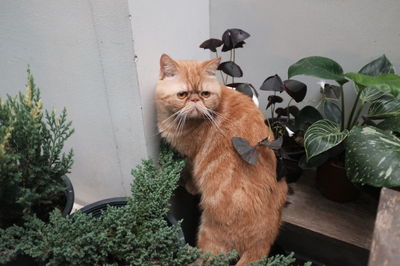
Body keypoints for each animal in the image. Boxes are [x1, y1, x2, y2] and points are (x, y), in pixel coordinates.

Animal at [155, 54, 290, 266]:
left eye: (205, 93)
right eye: (183, 95)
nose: (195, 99)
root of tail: (263, 239)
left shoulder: (191, 156)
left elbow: (190, 173)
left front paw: (189, 185)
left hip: (209, 235)